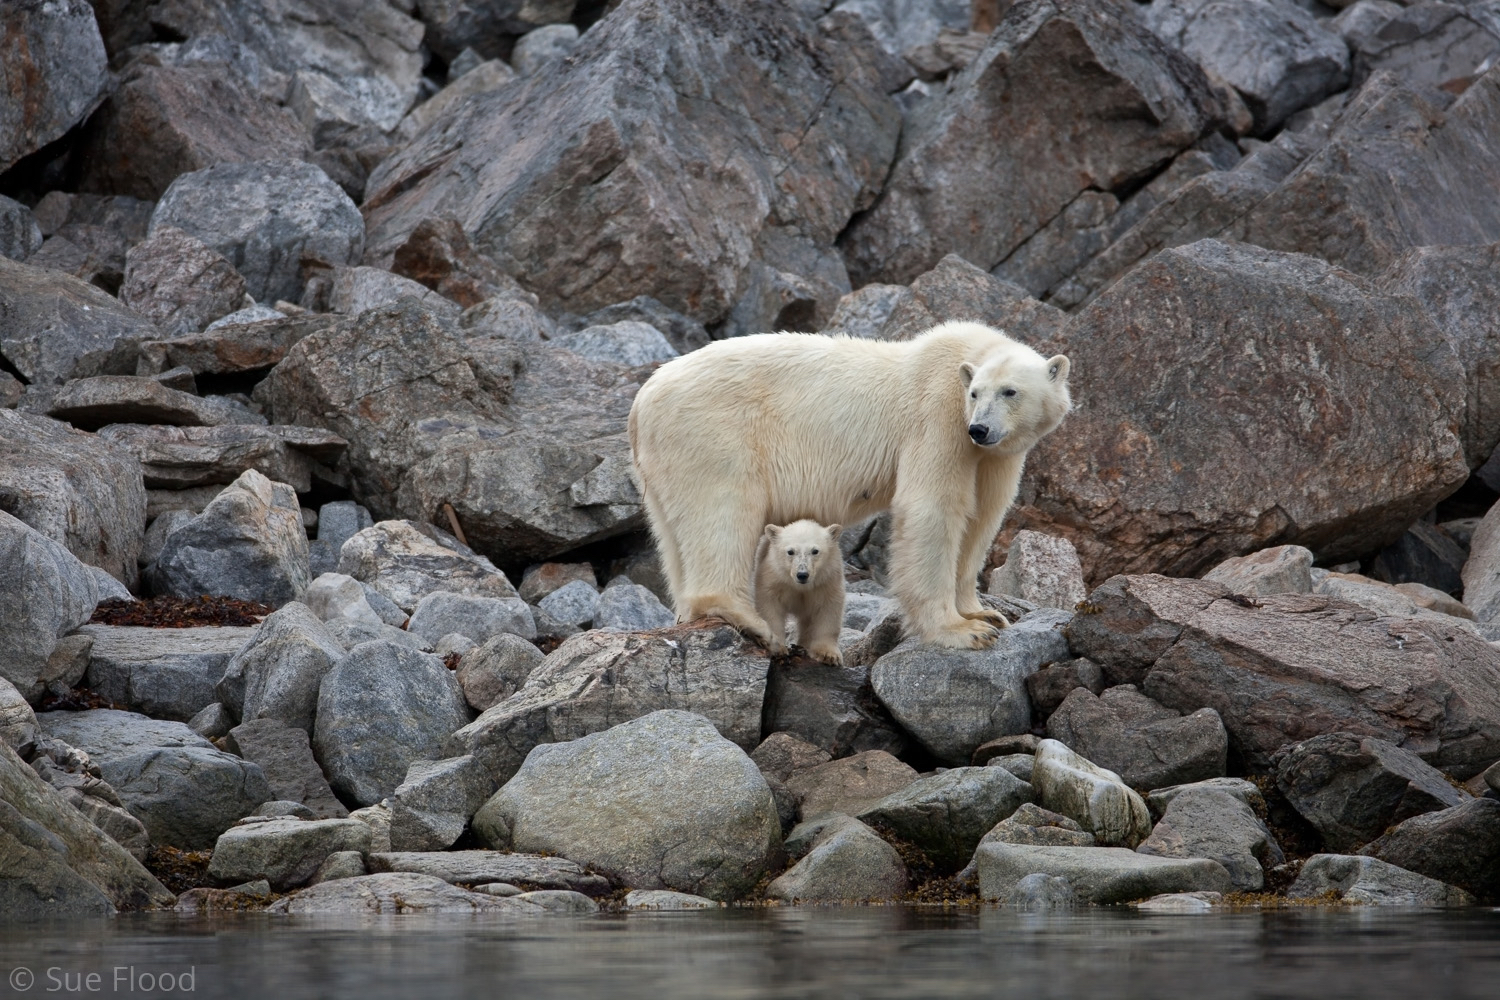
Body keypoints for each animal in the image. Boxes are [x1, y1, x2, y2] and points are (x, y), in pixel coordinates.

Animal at [627, 320, 1074, 650]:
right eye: (976, 392)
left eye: (1010, 391)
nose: (980, 428)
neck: (966, 353)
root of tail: (642, 399)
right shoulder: (938, 418)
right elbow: (933, 509)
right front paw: (961, 631)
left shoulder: (995, 455)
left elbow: (982, 516)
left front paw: (983, 612)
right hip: (712, 431)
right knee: (725, 510)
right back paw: (747, 619)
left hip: (660, 466)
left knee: (673, 536)